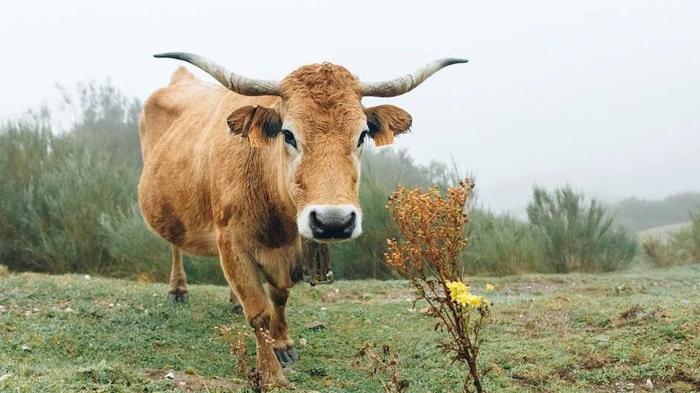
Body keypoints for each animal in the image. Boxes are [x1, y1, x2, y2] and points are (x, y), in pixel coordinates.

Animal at [138, 52, 464, 386]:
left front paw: (283, 344)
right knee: (175, 246)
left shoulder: (293, 249)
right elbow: (259, 311)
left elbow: (279, 297)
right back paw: (178, 290)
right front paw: (272, 373)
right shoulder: (231, 243)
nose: (333, 221)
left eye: (362, 135)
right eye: (288, 134)